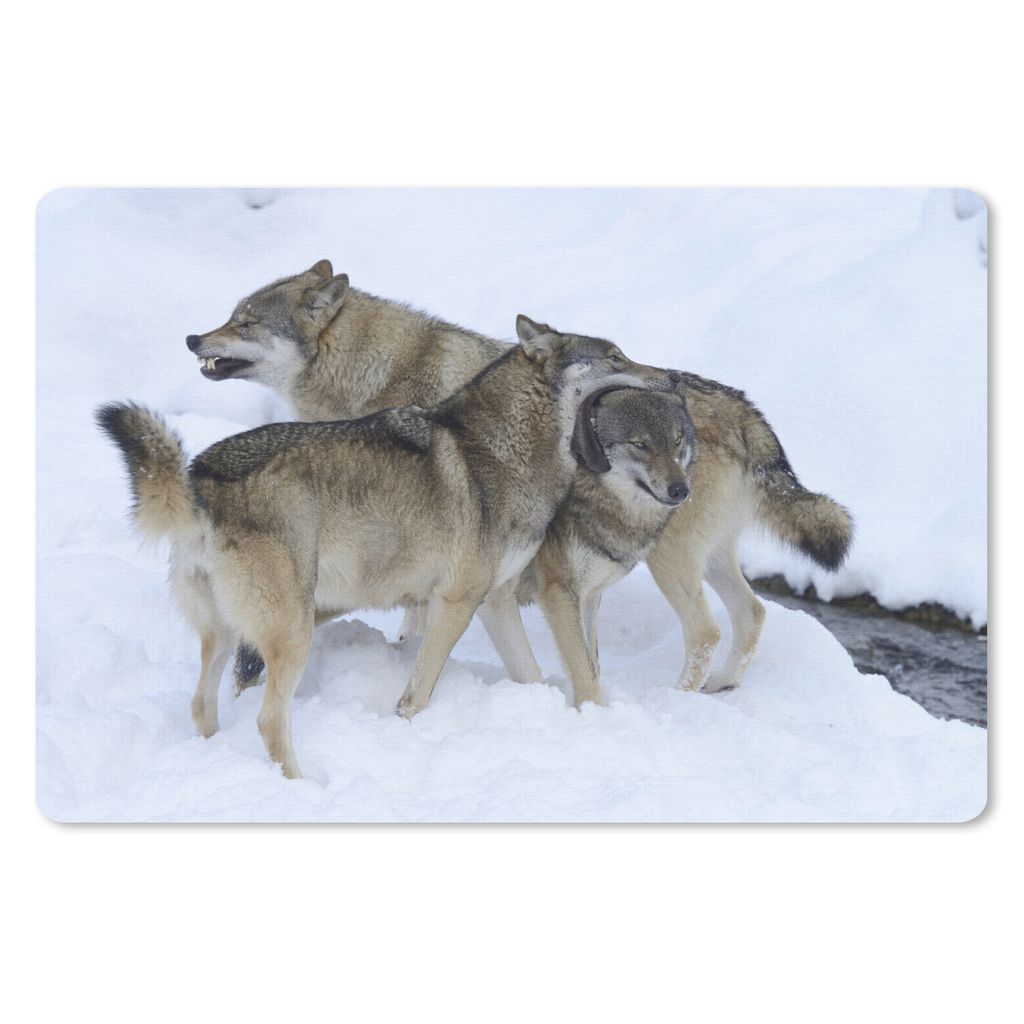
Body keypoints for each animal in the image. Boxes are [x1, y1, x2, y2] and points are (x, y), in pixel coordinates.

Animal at [100, 318, 678, 777]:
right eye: (616, 356)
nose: (671, 377)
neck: (505, 450)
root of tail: (199, 478)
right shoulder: (456, 602)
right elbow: (416, 696)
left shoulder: (493, 601)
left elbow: (530, 674)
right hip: (293, 632)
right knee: (268, 720)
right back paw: (302, 786)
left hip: (227, 632)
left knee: (201, 706)